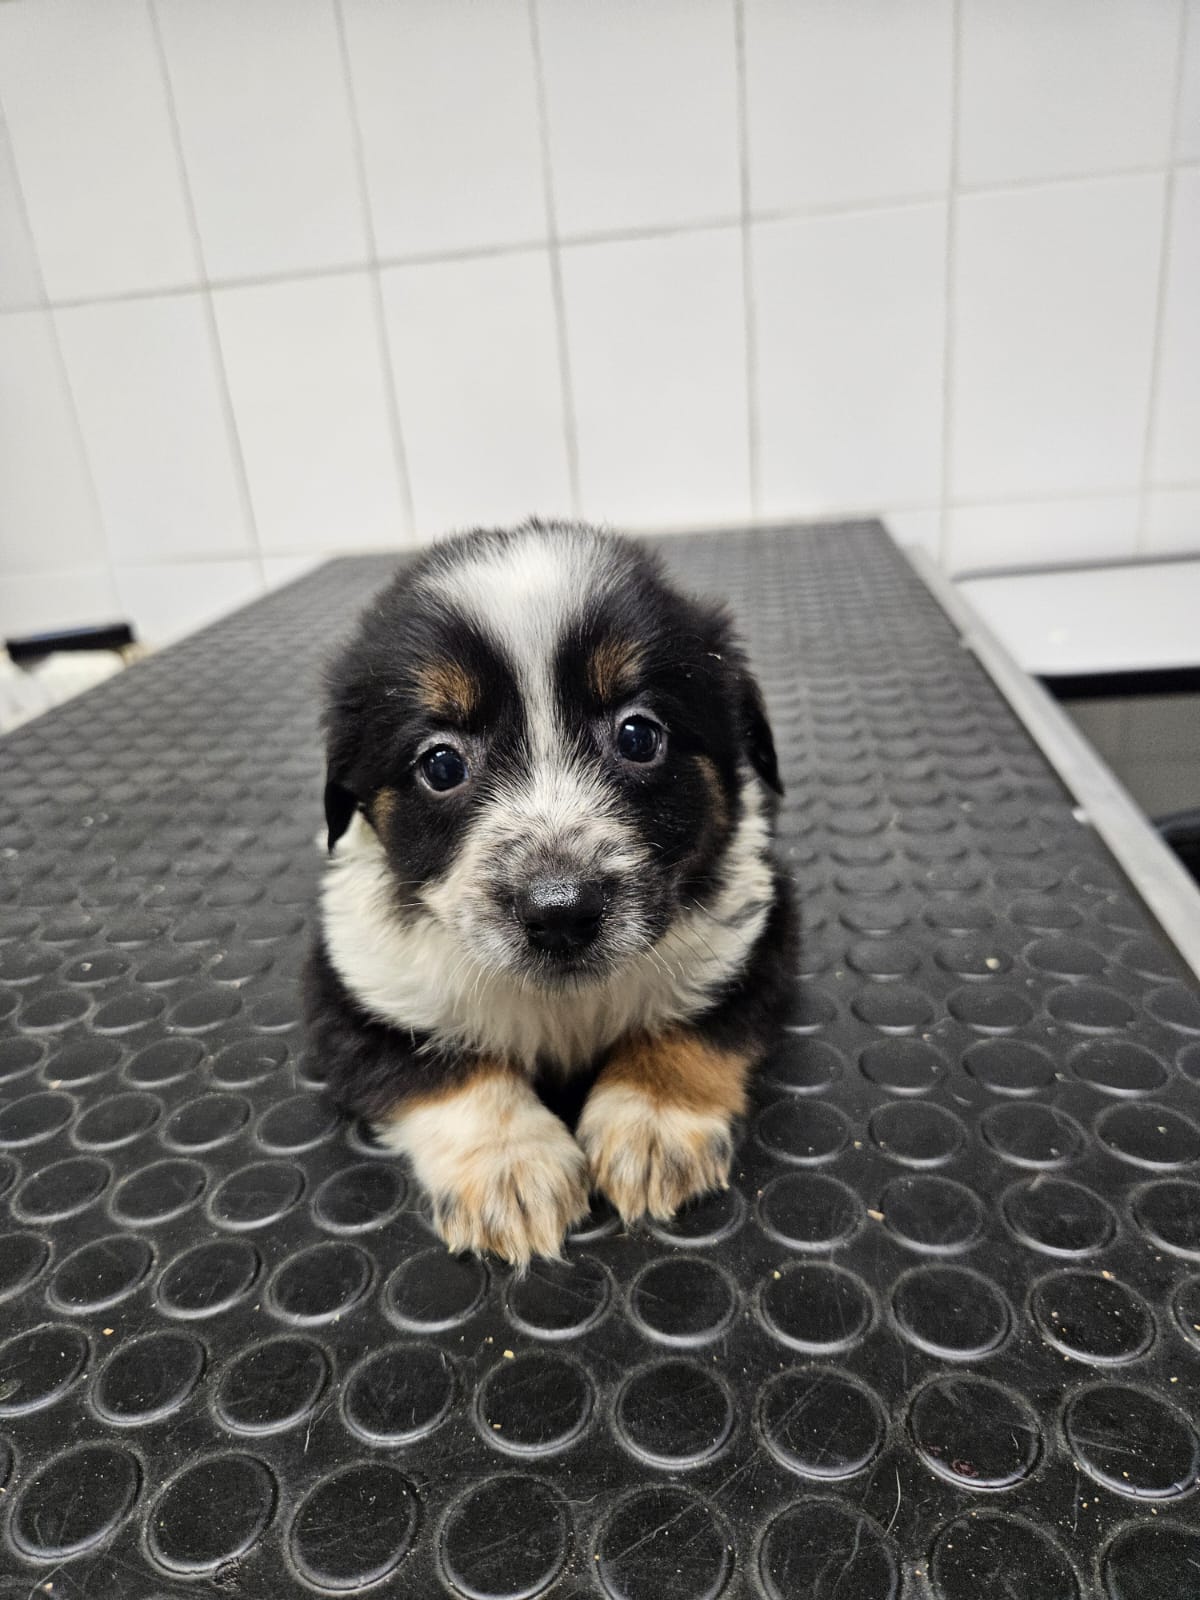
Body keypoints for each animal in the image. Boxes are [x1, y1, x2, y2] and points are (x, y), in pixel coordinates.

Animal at [305, 520, 796, 1265]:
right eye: (440, 764)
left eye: (639, 735)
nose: (560, 913)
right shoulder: (355, 987)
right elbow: (444, 1069)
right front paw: (509, 1168)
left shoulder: (754, 935)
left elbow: (688, 1020)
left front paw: (650, 1124)